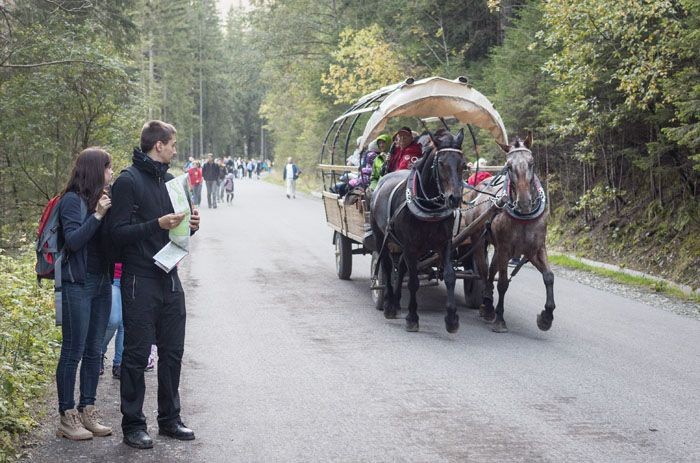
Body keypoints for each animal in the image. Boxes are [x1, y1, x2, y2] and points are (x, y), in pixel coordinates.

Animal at [372, 129, 464, 332]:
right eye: (441, 163)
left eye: (463, 164)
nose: (454, 198)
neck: (429, 206)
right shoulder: (411, 245)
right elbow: (413, 282)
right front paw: (412, 317)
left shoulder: (445, 243)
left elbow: (450, 276)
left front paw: (452, 319)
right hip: (382, 237)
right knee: (387, 266)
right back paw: (389, 305)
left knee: (401, 267)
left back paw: (396, 302)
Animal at [462, 133, 556, 334]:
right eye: (509, 166)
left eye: (531, 162)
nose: (524, 202)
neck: (525, 216)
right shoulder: (506, 249)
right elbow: (503, 283)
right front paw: (499, 319)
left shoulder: (535, 249)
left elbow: (548, 277)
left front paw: (546, 317)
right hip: (480, 242)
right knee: (484, 274)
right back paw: (489, 308)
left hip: (497, 249)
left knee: (490, 273)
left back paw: (486, 304)